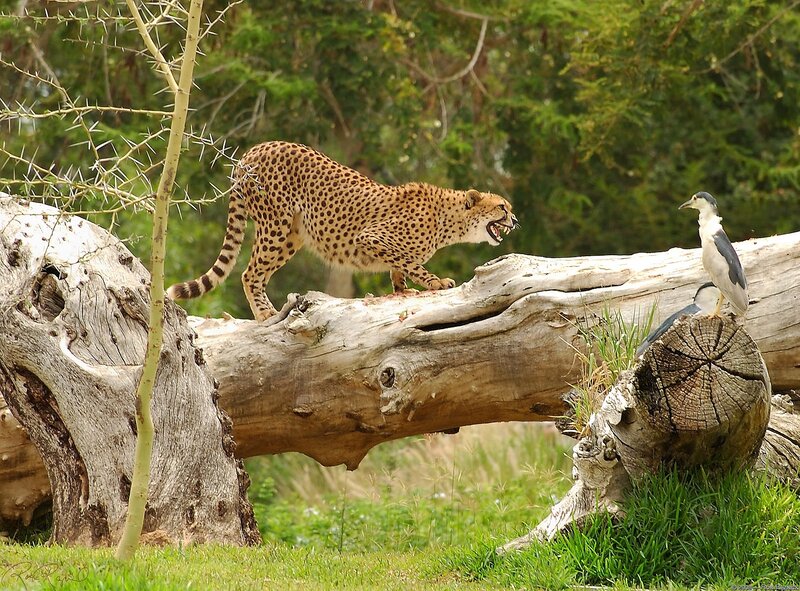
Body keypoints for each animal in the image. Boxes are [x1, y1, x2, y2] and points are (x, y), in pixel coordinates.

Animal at [167, 141, 519, 320]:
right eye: (502, 207)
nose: (515, 221)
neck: (451, 220)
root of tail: (254, 149)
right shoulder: (370, 237)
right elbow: (409, 262)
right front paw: (436, 282)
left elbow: (400, 269)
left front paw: (403, 291)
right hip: (276, 224)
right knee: (248, 273)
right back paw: (266, 315)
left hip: (293, 234)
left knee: (256, 272)